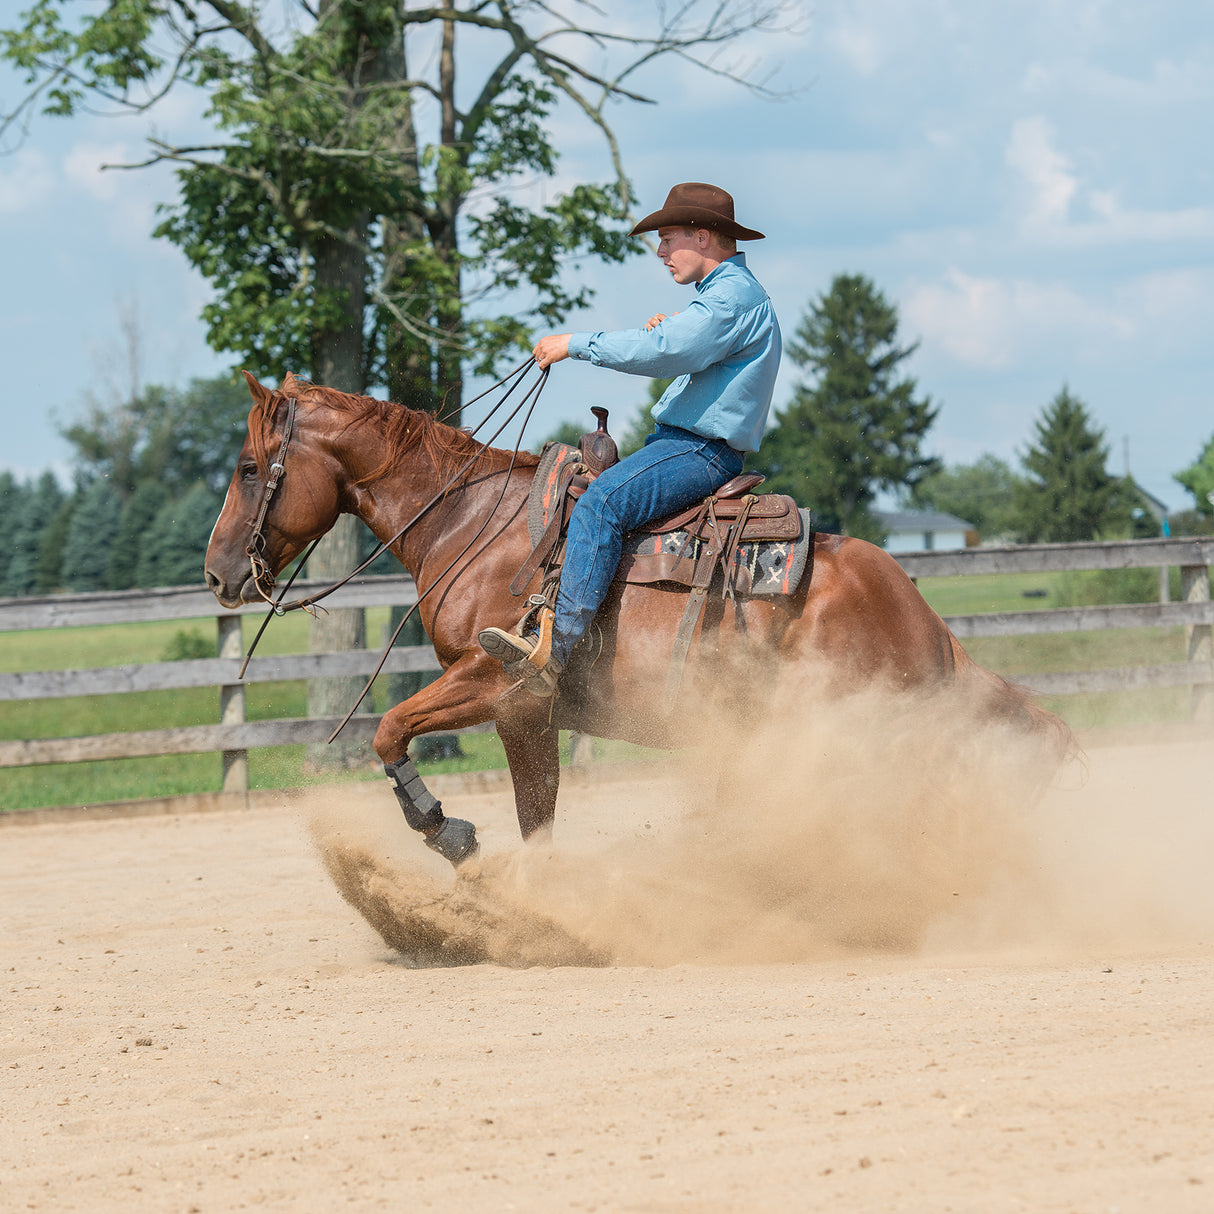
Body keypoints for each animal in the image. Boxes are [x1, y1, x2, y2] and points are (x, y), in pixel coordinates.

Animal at [208, 373, 1073, 869]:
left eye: (249, 467)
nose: (217, 572)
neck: (473, 527)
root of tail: (925, 618)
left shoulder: (497, 682)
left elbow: (391, 730)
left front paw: (445, 830)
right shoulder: (527, 714)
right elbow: (536, 814)